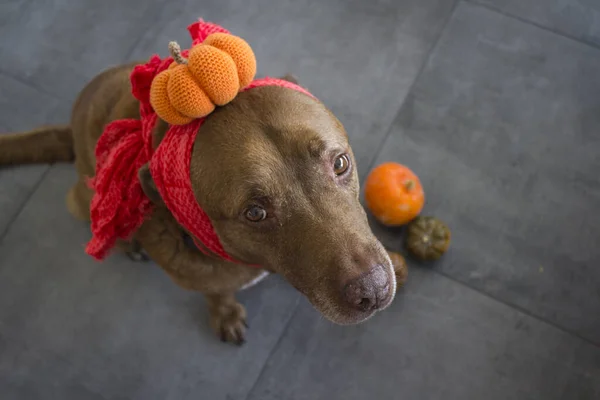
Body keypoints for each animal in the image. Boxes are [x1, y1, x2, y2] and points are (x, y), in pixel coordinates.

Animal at [1, 62, 404, 344]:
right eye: (254, 213)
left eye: (340, 164)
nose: (373, 290)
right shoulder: (199, 277)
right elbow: (216, 292)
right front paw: (224, 312)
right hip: (83, 197)